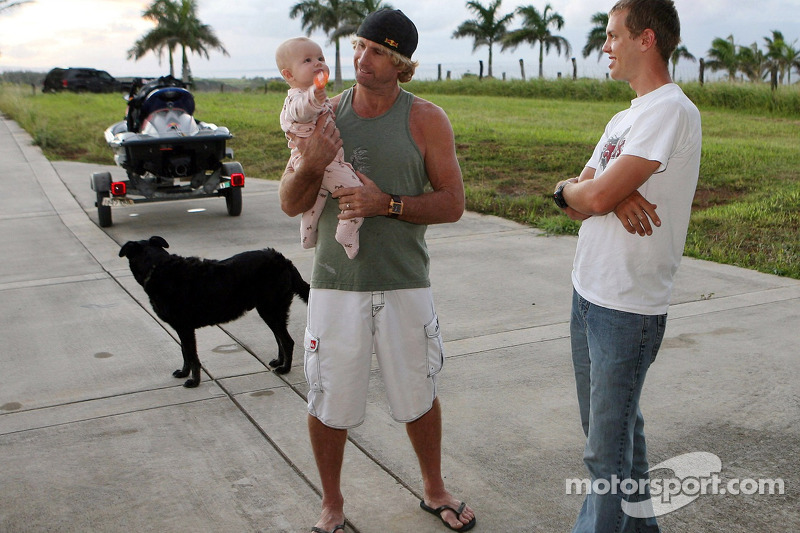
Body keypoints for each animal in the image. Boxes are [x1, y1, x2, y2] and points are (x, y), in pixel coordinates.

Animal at [120, 235, 310, 384]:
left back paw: (285, 368)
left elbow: (192, 356)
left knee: (287, 341)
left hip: (271, 309)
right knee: (279, 339)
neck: (157, 267)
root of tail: (283, 260)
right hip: (270, 311)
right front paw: (184, 373)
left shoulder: (185, 328)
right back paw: (279, 362)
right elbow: (184, 352)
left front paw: (194, 381)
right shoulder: (182, 328)